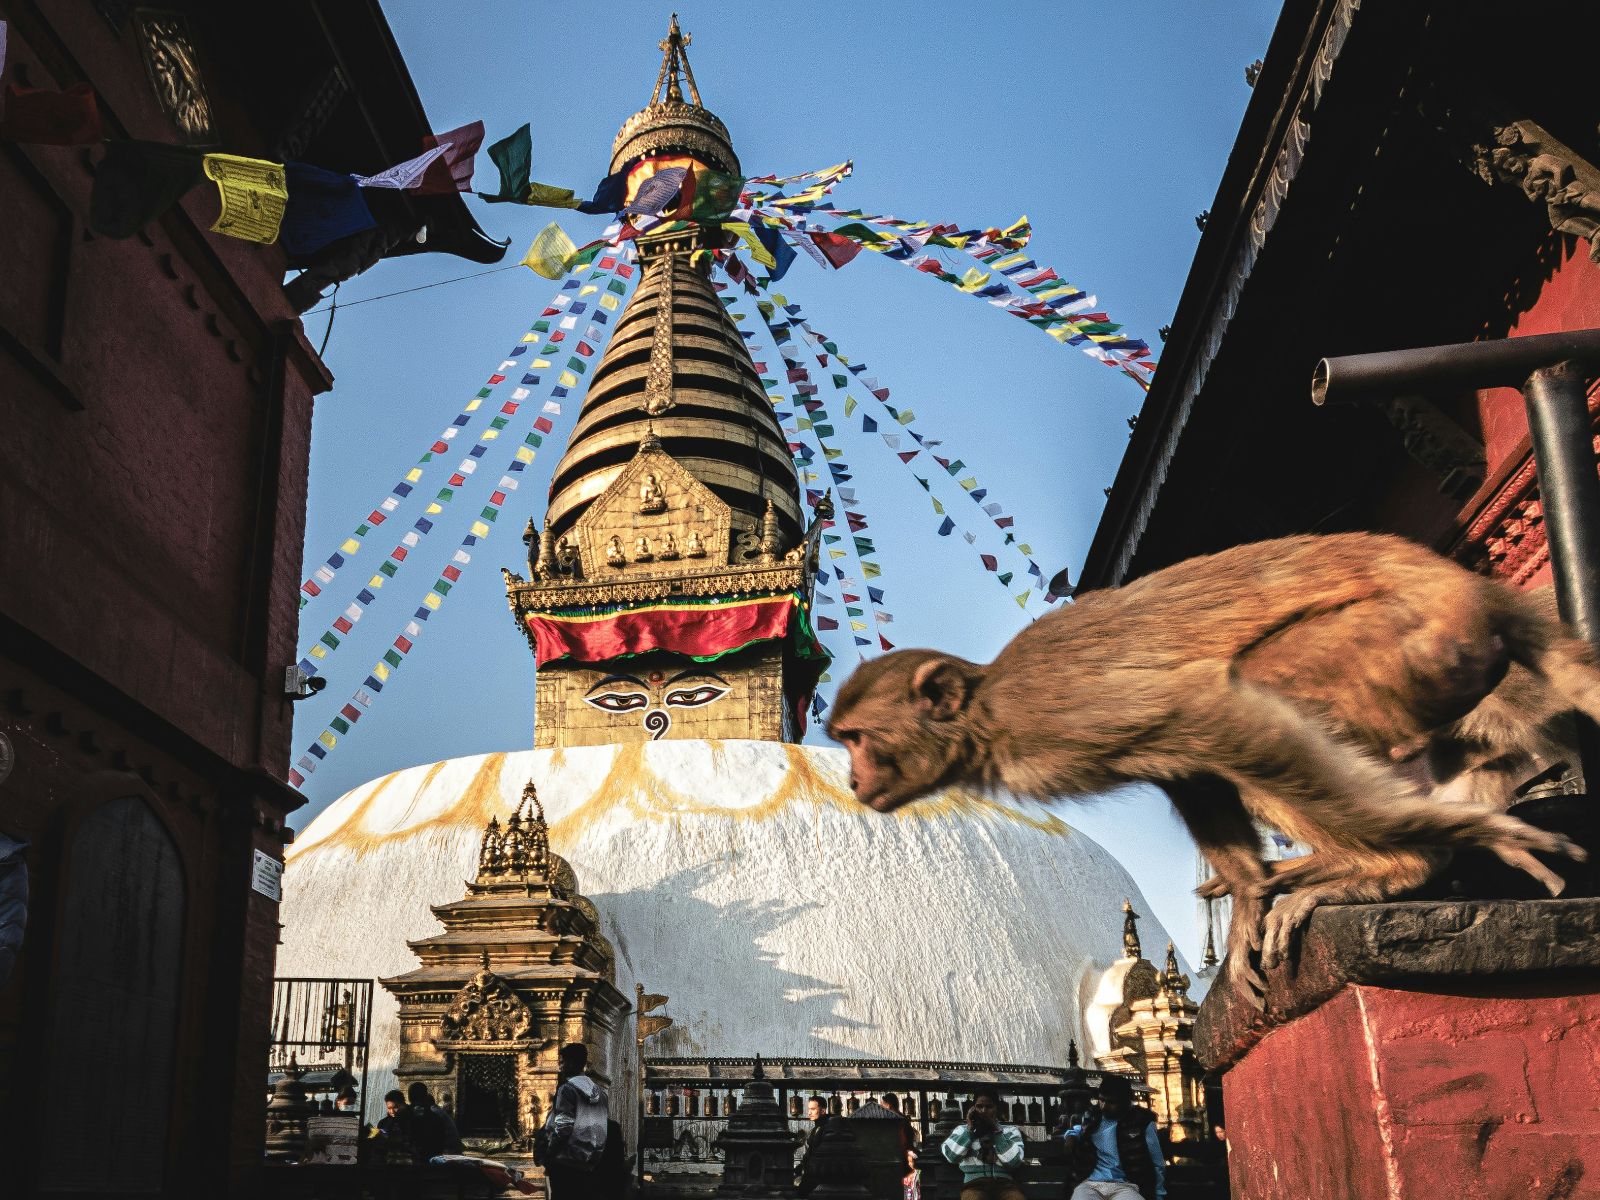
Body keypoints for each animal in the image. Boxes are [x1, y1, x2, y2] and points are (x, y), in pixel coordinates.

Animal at [827, 533, 1590, 996]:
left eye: (859, 737)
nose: (855, 780)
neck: (986, 716)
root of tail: (1472, 586)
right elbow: (1188, 770)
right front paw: (1250, 895)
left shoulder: (1060, 717)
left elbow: (1210, 710)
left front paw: (1461, 839)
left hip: (1415, 636)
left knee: (1263, 687)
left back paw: (1406, 864)